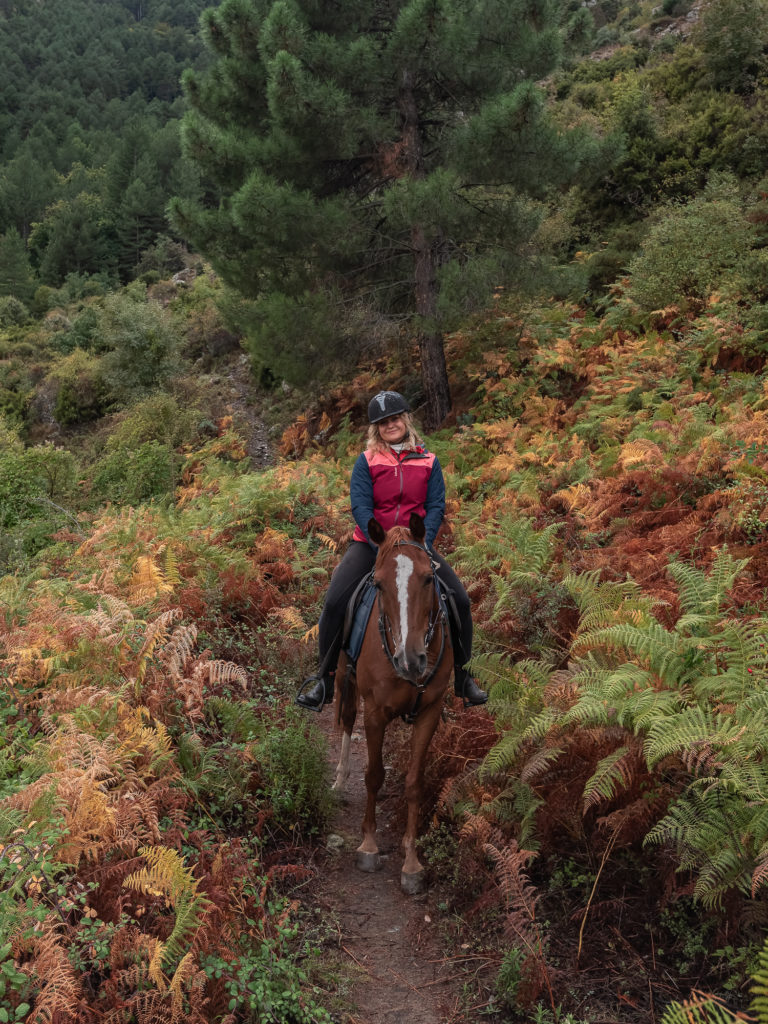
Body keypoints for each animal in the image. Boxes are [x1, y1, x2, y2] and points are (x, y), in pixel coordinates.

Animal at [333, 516, 454, 892]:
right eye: (380, 584)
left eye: (428, 578)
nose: (410, 660)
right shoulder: (375, 713)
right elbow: (373, 775)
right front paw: (368, 846)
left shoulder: (430, 713)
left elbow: (415, 783)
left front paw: (411, 862)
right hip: (343, 676)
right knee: (345, 719)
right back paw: (339, 780)